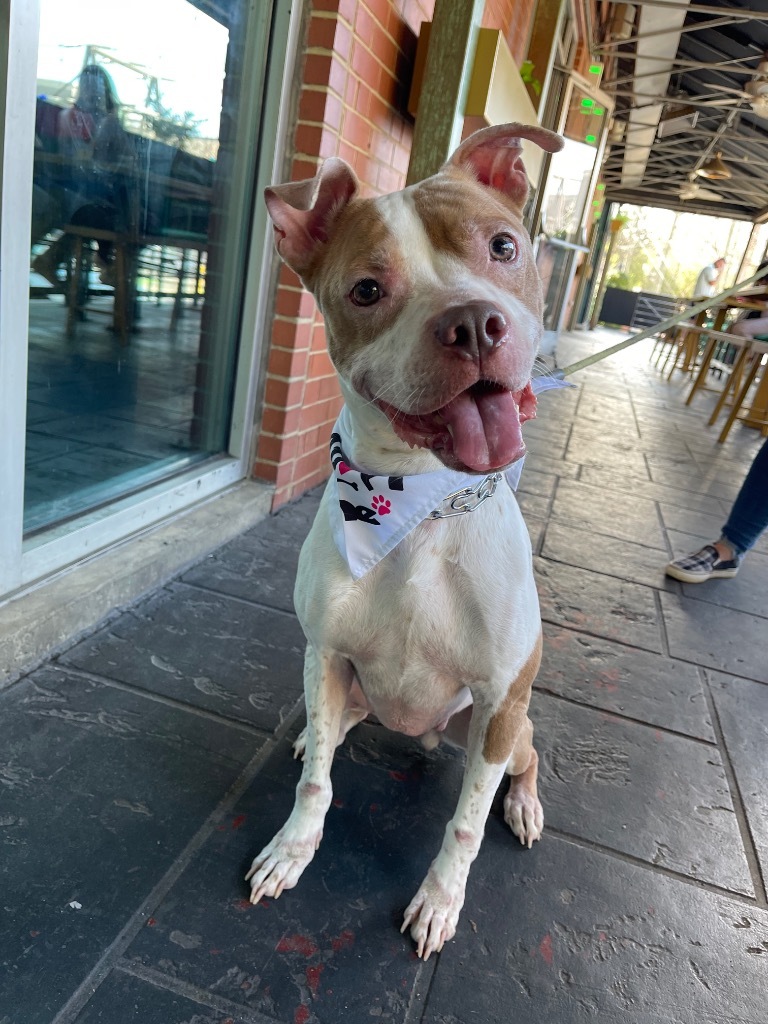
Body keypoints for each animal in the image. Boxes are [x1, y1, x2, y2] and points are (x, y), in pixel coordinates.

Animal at [246, 121, 565, 958]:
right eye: (366, 291)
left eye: (503, 247)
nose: (473, 322)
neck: (418, 512)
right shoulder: (326, 651)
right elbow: (318, 783)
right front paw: (292, 848)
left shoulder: (500, 698)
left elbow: (464, 825)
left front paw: (439, 902)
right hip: (346, 679)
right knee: (337, 724)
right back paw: (315, 735)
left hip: (510, 724)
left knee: (524, 763)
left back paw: (523, 805)